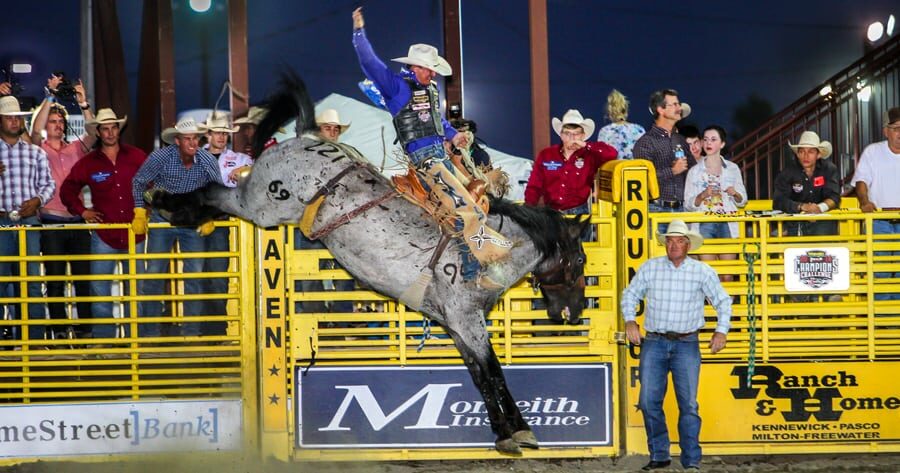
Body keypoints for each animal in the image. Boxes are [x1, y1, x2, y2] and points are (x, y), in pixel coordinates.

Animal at [149, 71, 592, 454]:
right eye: (579, 261)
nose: (573, 314)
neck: (489, 247)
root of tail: (304, 136)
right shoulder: (467, 320)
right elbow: (494, 371)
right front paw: (521, 430)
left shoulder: (457, 325)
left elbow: (481, 376)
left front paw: (504, 433)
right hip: (259, 205)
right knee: (213, 191)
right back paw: (165, 202)